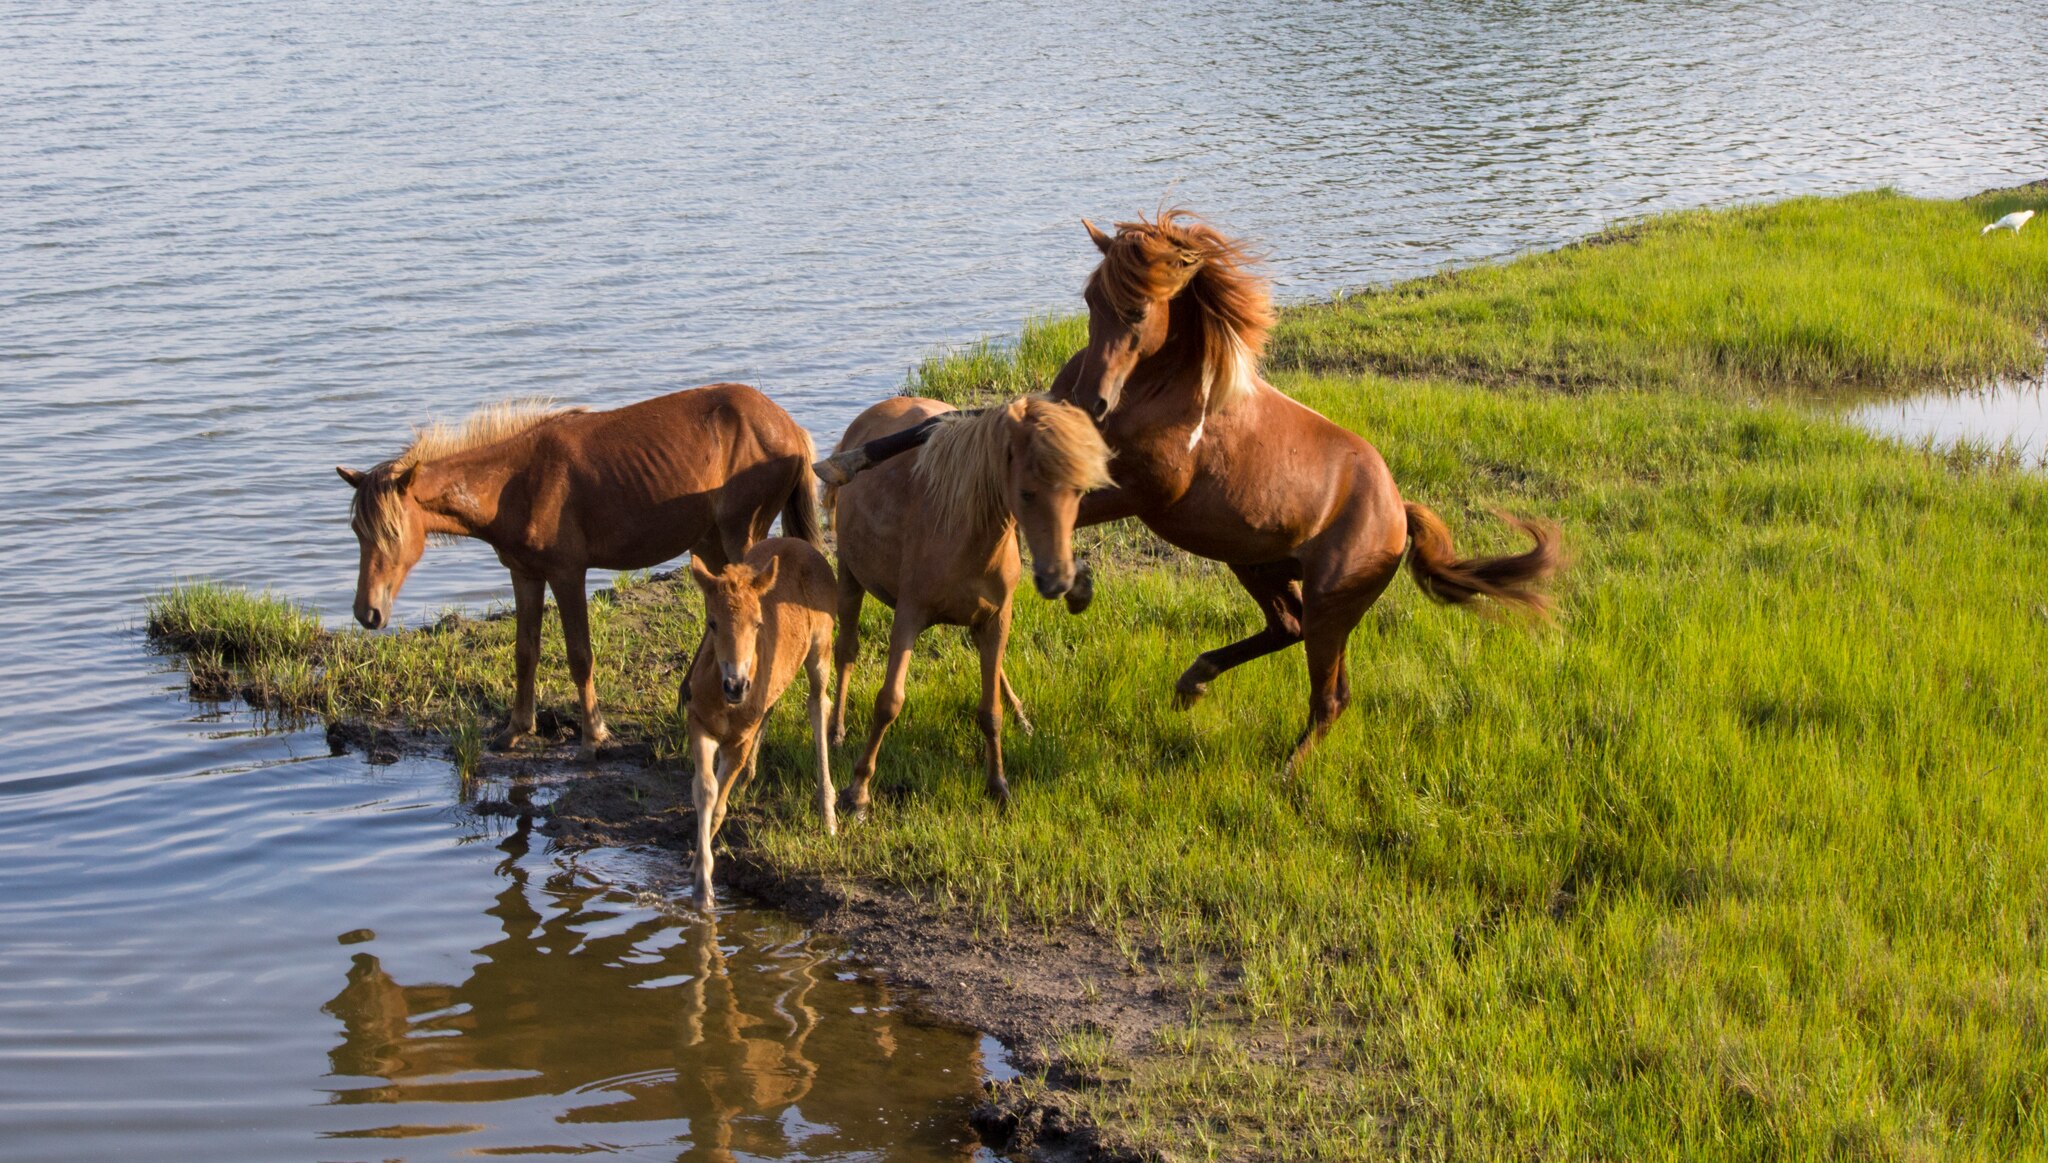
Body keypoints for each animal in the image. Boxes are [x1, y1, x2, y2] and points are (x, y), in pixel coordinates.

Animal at [335, 383, 822, 759]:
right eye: (357, 530)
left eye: (393, 533)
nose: (367, 613)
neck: (515, 483)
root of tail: (789, 427)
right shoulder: (525, 574)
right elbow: (525, 652)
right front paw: (515, 730)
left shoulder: (568, 574)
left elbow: (580, 655)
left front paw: (594, 735)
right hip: (709, 541)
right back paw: (690, 693)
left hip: (741, 535)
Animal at [683, 537, 837, 906]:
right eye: (712, 623)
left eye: (757, 623)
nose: (736, 684)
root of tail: (801, 544)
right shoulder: (698, 722)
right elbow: (704, 791)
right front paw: (698, 873)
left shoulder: (738, 741)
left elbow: (718, 805)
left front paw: (704, 884)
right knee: (772, 701)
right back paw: (747, 778)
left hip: (821, 647)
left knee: (818, 704)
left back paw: (828, 812)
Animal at [820, 213, 1561, 770]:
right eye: (1090, 301)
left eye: (1138, 308)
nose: (1090, 399)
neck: (1158, 392)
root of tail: (1399, 513)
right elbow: (939, 433)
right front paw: (845, 463)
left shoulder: (1139, 493)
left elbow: (1059, 515)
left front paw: (1077, 585)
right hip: (1257, 565)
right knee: (1288, 631)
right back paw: (1193, 681)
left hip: (1334, 602)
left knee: (1327, 695)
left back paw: (1284, 772)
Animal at [826, 394, 1113, 816]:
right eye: (1027, 493)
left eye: (1078, 492)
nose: (1059, 580)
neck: (964, 530)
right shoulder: (908, 616)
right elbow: (888, 702)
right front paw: (858, 791)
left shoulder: (996, 618)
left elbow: (989, 711)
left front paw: (998, 786)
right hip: (849, 576)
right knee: (846, 650)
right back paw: (835, 730)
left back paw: (1021, 716)